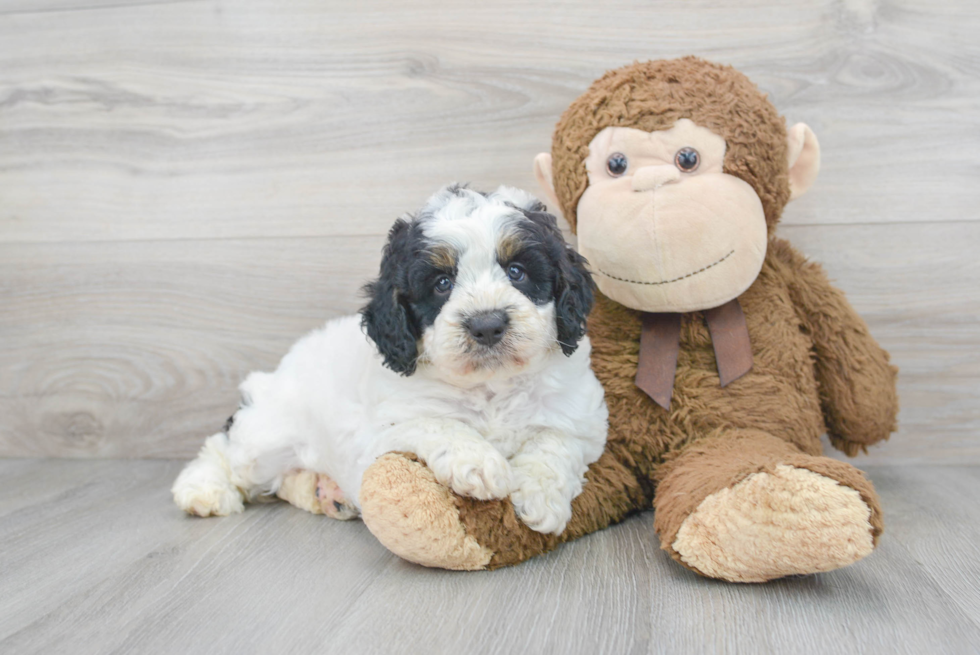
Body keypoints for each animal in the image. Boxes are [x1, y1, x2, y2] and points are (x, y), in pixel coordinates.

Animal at [172, 184, 608, 540]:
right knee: (225, 449)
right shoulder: (380, 432)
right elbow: (435, 423)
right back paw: (204, 489)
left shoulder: (581, 417)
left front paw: (539, 497)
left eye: (517, 271)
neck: (489, 385)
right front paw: (479, 462)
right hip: (269, 433)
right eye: (442, 283)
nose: (487, 325)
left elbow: (556, 442)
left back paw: (326, 493)